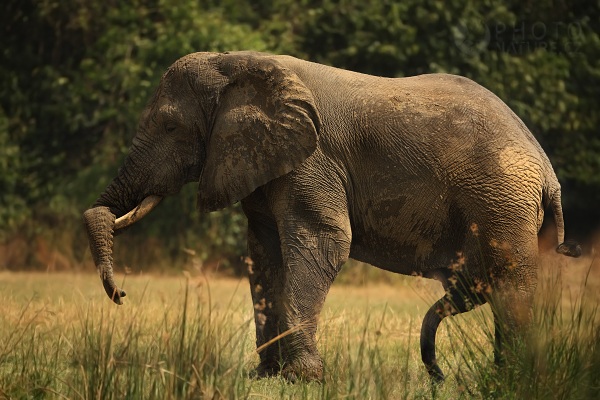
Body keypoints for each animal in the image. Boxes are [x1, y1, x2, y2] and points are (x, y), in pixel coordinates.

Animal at [83, 50, 580, 382]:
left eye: (171, 127)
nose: (121, 294)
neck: (238, 64)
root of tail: (546, 167)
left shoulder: (313, 159)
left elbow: (322, 242)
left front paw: (304, 378)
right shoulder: (263, 161)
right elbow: (264, 254)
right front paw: (265, 377)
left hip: (502, 199)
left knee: (510, 283)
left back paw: (508, 379)